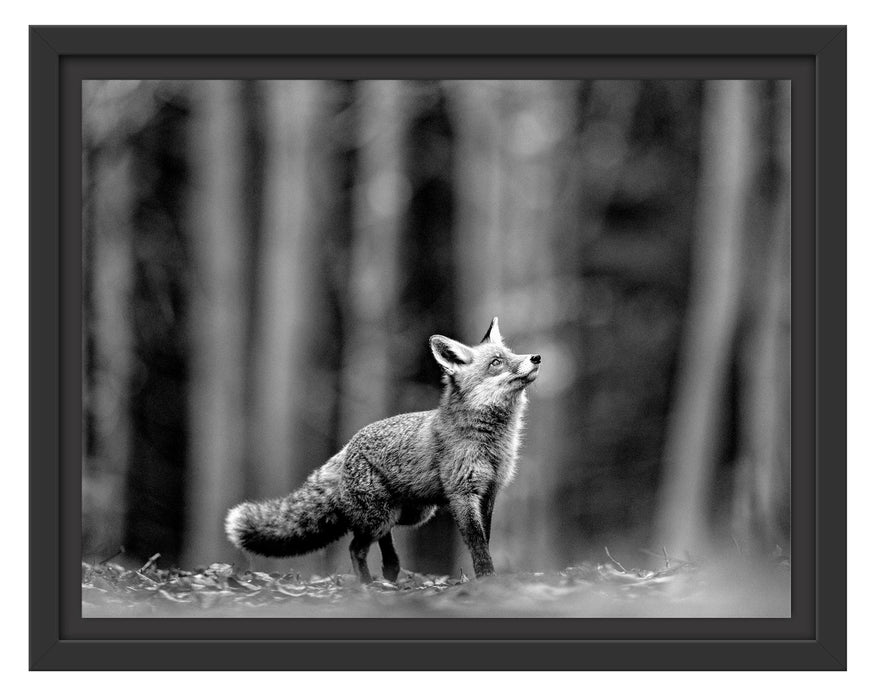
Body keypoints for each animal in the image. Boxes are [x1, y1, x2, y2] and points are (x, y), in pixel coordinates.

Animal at [225, 317, 541, 583]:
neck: (491, 442)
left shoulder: (490, 491)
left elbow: (485, 538)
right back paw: (367, 585)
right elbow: (477, 543)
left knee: (382, 539)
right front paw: (486, 579)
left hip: (410, 513)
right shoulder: (463, 493)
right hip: (380, 516)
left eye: (511, 353)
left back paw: (390, 572)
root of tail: (347, 446)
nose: (535, 357)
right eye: (496, 362)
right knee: (356, 547)